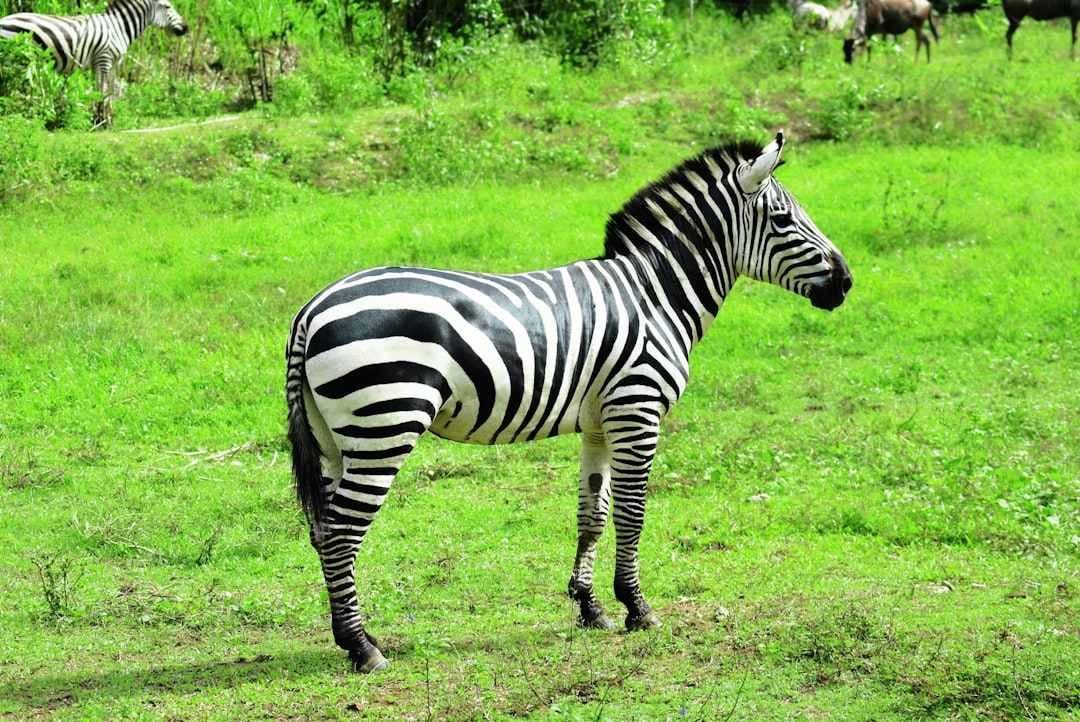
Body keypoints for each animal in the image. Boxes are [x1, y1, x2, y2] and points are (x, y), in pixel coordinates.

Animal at [0, 0, 189, 125]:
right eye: (168, 7)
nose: (186, 27)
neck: (118, 27)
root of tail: (4, 19)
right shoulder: (104, 59)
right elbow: (101, 90)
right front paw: (100, 119)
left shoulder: (106, 63)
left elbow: (110, 91)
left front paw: (106, 116)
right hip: (14, 59)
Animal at [286, 132, 853, 673]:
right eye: (783, 219)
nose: (846, 282)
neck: (656, 294)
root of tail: (311, 309)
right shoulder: (637, 409)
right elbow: (632, 513)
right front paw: (637, 608)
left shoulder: (601, 422)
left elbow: (593, 514)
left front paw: (590, 607)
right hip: (385, 424)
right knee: (341, 533)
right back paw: (362, 647)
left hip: (335, 438)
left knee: (322, 530)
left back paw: (351, 638)